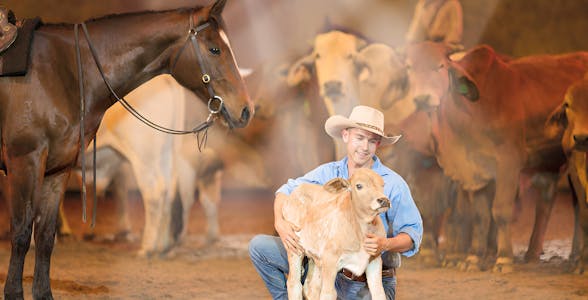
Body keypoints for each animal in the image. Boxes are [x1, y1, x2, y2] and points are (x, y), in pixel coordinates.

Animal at [0, 0, 250, 298]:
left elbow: (40, 232)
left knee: (158, 191)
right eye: (214, 48)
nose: (246, 109)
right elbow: (28, 231)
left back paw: (151, 247)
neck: (62, 70)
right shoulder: (30, 162)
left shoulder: (49, 166)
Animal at [282, 169, 390, 300]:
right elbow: (329, 293)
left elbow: (379, 293)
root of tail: (300, 188)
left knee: (311, 287)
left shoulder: (375, 259)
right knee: (294, 283)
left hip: (316, 258)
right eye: (359, 186)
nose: (384, 200)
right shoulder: (330, 260)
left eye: (383, 185)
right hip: (295, 250)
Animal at [390, 41, 588, 274]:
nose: (422, 99)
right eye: (410, 68)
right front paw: (473, 258)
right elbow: (479, 216)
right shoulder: (475, 171)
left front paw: (502, 258)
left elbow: (499, 211)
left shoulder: (508, 163)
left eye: (440, 66)